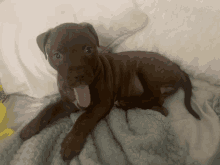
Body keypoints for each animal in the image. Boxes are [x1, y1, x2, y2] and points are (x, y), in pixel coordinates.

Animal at [19, 22, 200, 162]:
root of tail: (178, 68)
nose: (79, 75)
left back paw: (126, 102)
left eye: (88, 49)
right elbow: (47, 110)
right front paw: (30, 127)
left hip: (147, 69)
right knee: (161, 105)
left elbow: (83, 119)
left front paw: (70, 143)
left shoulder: (101, 104)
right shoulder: (68, 103)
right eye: (57, 55)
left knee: (156, 98)